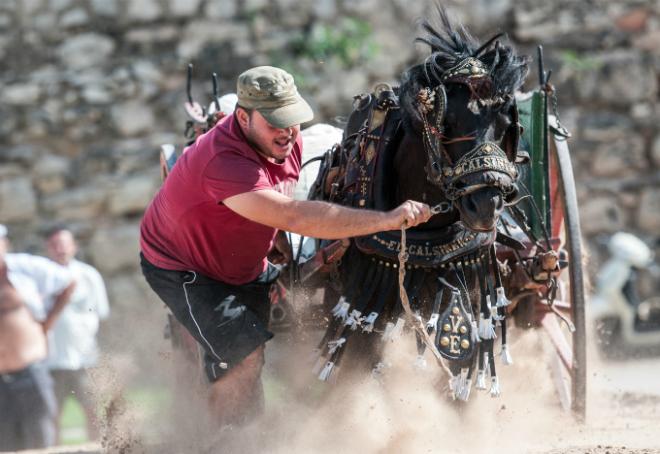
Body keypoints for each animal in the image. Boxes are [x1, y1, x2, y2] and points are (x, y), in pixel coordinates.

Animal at [310, 5, 532, 400]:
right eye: (449, 121)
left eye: (508, 123)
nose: (485, 205)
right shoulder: (373, 300)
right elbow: (369, 364)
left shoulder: (466, 290)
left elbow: (460, 361)